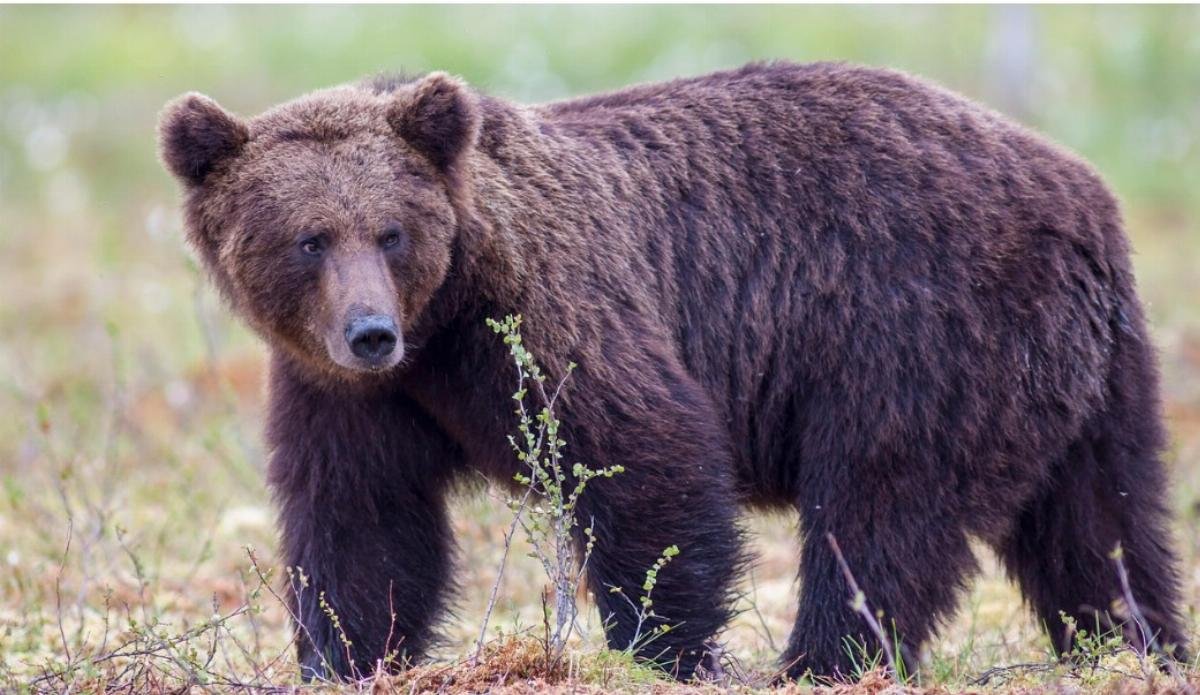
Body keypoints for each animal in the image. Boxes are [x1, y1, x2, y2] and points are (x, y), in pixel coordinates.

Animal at [158, 61, 1187, 681]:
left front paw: (667, 649)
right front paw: (349, 656)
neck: (444, 321)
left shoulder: (552, 310)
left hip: (919, 331)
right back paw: (1135, 648)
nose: (370, 331)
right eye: (308, 238)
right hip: (1088, 375)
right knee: (1101, 525)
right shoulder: (350, 393)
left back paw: (819, 661)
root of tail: (1082, 192)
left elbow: (647, 458)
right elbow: (362, 525)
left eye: (390, 231)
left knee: (881, 512)